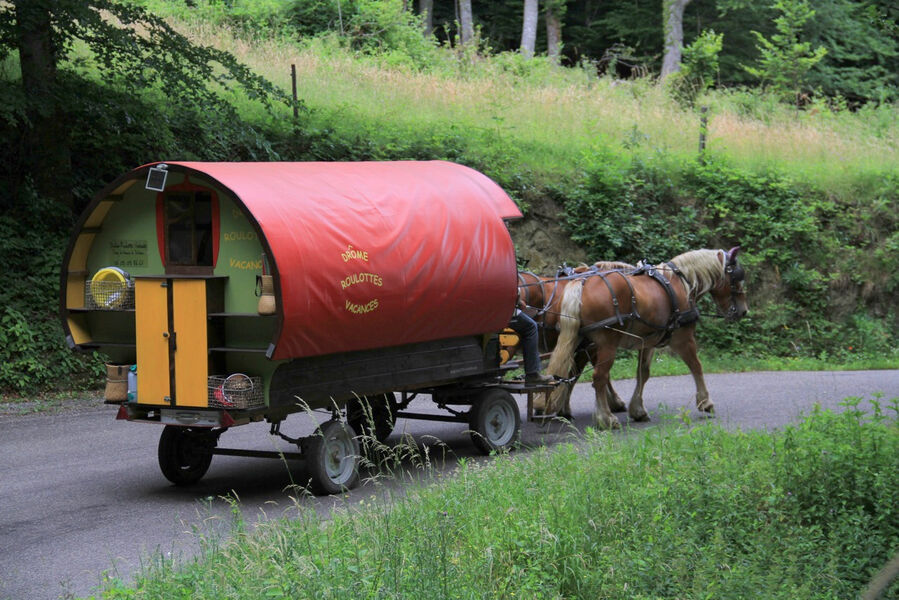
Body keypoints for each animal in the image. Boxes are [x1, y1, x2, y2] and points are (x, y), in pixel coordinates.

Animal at [542, 248, 748, 429]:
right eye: (736, 277)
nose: (744, 310)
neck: (680, 283)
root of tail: (582, 282)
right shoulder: (683, 339)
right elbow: (696, 366)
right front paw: (705, 402)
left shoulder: (648, 342)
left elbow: (643, 373)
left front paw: (638, 410)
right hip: (607, 344)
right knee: (598, 377)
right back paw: (605, 418)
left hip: (577, 340)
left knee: (568, 373)